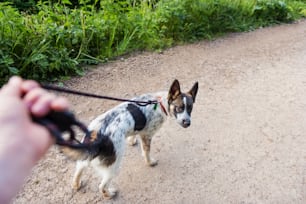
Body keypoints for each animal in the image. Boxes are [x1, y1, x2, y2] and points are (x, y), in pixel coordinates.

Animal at [63, 79, 200, 199]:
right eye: (179, 108)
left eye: (190, 108)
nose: (188, 123)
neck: (159, 102)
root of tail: (97, 137)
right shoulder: (147, 135)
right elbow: (146, 152)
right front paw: (150, 162)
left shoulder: (140, 130)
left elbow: (135, 133)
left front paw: (132, 140)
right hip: (114, 166)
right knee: (102, 186)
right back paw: (110, 194)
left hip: (85, 157)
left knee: (79, 168)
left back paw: (76, 184)